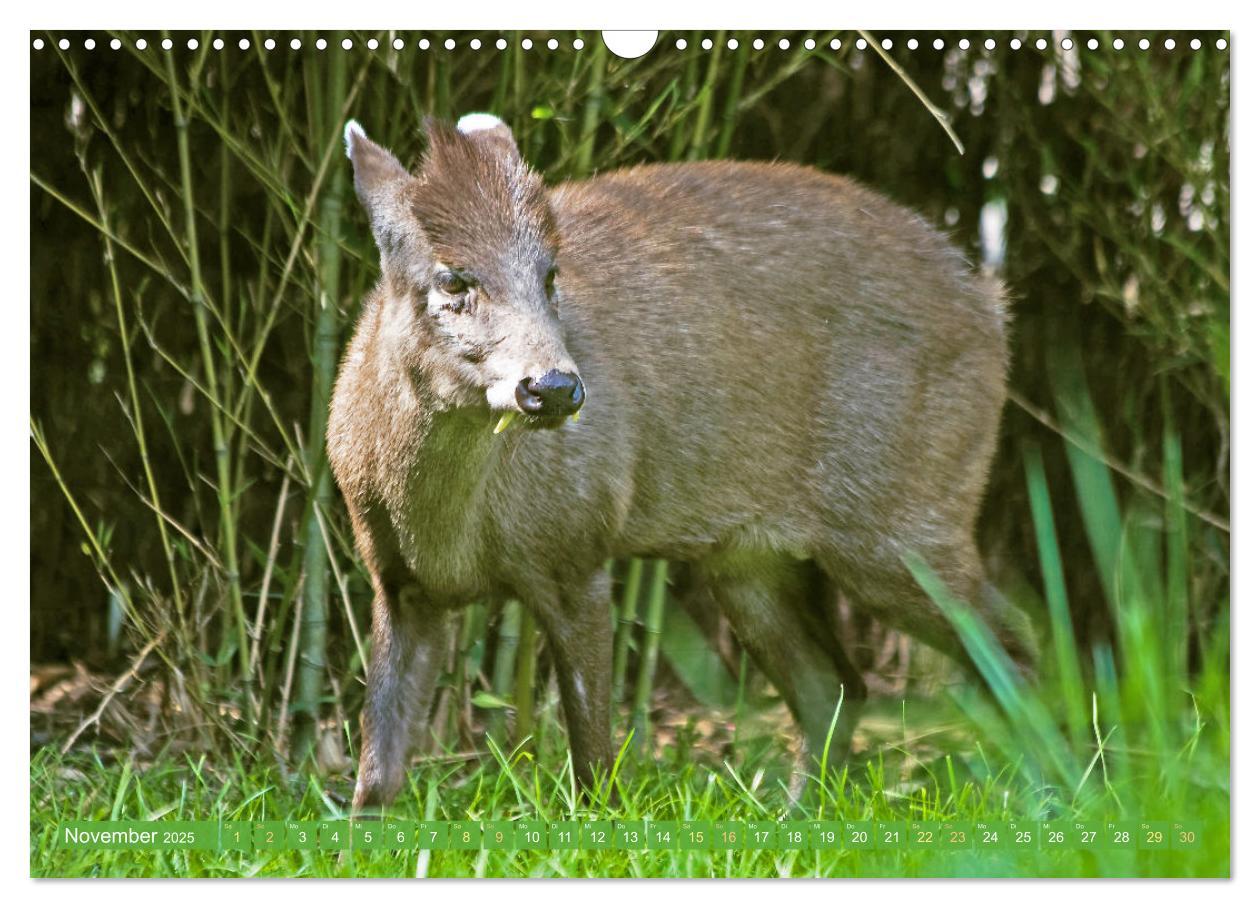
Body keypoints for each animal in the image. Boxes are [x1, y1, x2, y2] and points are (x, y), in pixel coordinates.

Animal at [330, 113, 1038, 805]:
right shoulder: (395, 579)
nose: (554, 386)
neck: (445, 527)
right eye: (452, 278)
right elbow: (376, 776)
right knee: (834, 684)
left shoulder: (576, 549)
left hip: (906, 517)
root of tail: (991, 307)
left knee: (1014, 646)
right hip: (751, 558)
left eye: (551, 274)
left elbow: (595, 768)